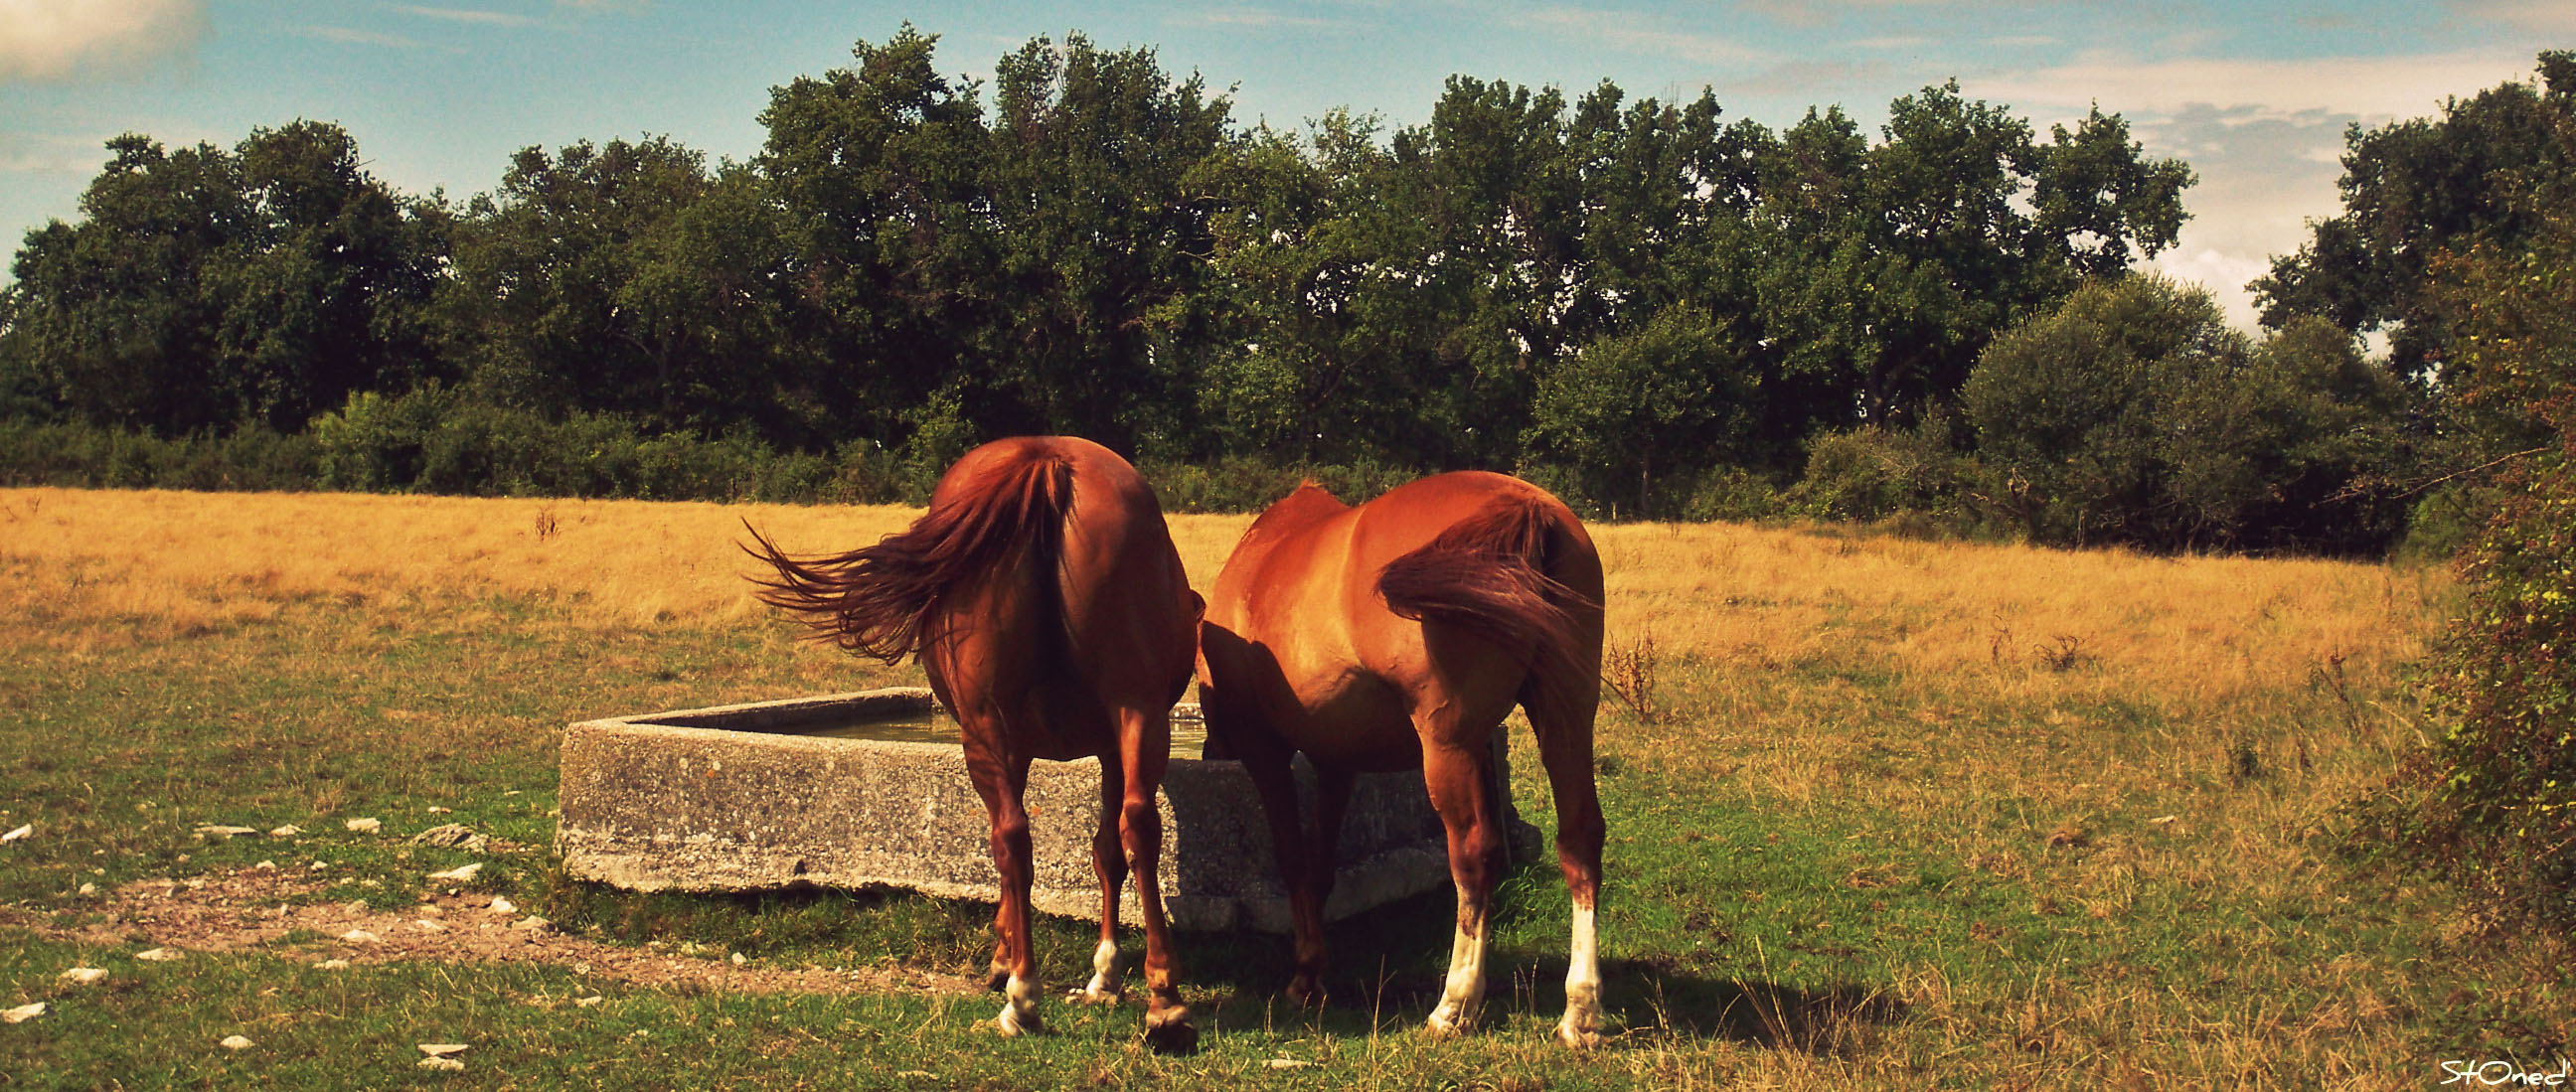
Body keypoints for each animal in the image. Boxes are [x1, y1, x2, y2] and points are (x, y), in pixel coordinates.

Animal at [736, 432, 1195, 1050]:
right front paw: (1104, 972)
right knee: (1137, 827)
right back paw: (1164, 1000)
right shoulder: (1102, 744)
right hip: (1138, 714)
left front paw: (1011, 956)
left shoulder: (1012, 744)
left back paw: (1022, 996)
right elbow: (1106, 851)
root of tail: (1047, 461)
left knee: (1011, 838)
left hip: (983, 729)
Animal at [1190, 471, 1607, 1050]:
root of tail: (1524, 508)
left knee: (1472, 854)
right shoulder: (1337, 762)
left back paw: (1455, 1004)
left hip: (1448, 745)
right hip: (1566, 719)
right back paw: (1581, 1010)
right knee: (1580, 838)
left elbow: (1294, 861)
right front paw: (1312, 971)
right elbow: (1320, 867)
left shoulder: (1264, 751)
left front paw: (1304, 976)